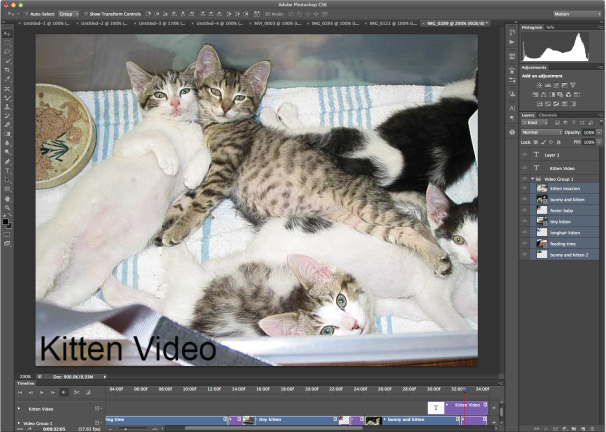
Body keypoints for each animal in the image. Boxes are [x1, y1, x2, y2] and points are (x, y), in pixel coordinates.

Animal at [35, 62, 212, 306]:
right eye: (160, 94)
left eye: (184, 91)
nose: (175, 103)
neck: (177, 126)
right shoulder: (126, 144)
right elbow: (156, 137)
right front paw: (170, 160)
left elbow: (205, 152)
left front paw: (194, 174)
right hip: (55, 248)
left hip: (84, 279)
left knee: (59, 300)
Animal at [155, 45, 453, 277]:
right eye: (215, 91)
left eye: (239, 97)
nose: (225, 107)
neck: (221, 125)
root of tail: (377, 187)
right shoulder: (213, 175)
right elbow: (184, 199)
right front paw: (163, 224)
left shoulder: (222, 171)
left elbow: (198, 203)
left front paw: (177, 229)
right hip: (357, 222)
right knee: (402, 232)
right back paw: (433, 257)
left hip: (363, 205)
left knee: (413, 224)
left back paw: (440, 257)